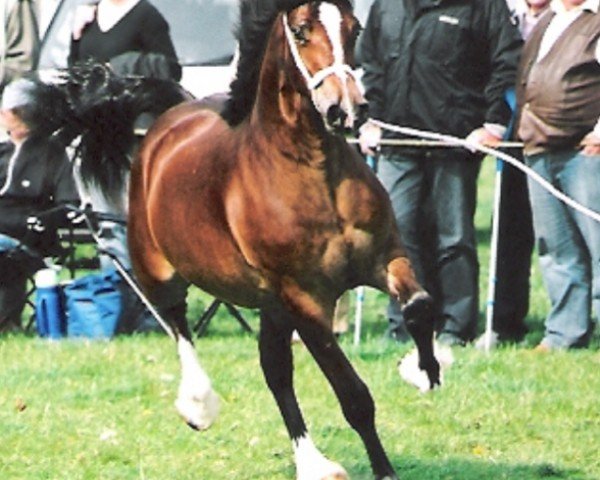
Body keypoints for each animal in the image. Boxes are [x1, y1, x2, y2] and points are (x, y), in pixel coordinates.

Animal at [39, 0, 438, 480]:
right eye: (301, 31)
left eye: (354, 27)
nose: (346, 109)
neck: (311, 171)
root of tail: (176, 114)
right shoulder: (305, 300)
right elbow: (353, 396)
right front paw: (385, 468)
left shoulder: (384, 258)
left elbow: (419, 307)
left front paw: (422, 370)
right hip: (160, 271)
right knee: (177, 322)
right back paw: (199, 406)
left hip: (270, 303)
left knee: (274, 370)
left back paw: (311, 461)